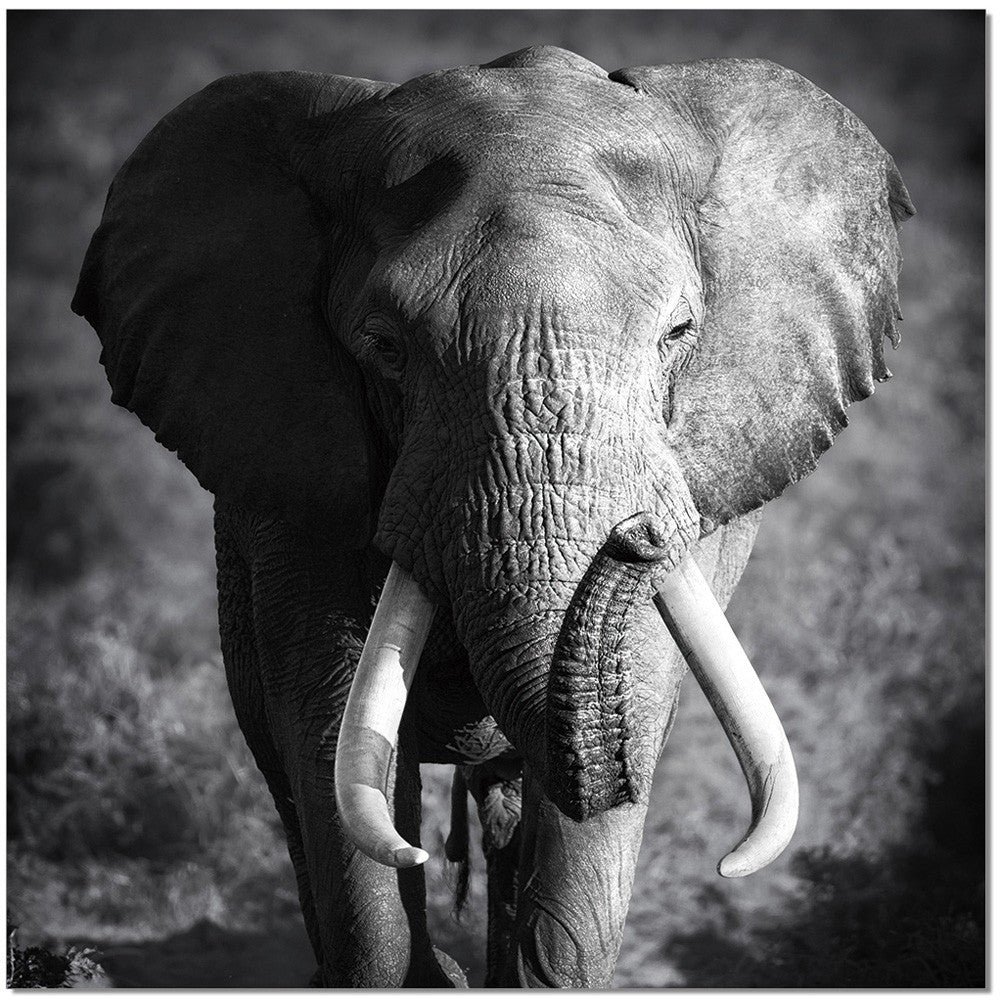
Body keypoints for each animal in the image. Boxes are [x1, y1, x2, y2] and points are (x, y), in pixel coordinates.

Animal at [72, 45, 913, 988]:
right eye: (385, 347)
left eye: (678, 333)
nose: (637, 535)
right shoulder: (291, 485)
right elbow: (332, 727)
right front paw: (413, 967)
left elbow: (633, 704)